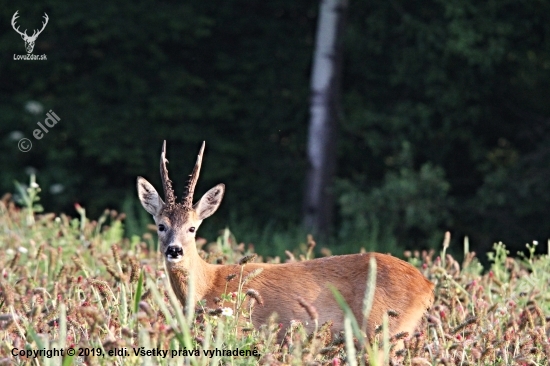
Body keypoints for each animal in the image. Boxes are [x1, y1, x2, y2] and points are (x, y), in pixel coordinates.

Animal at [137, 142, 436, 344]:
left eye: (193, 228)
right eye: (161, 225)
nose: (174, 250)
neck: (207, 284)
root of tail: (427, 285)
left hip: (382, 329)